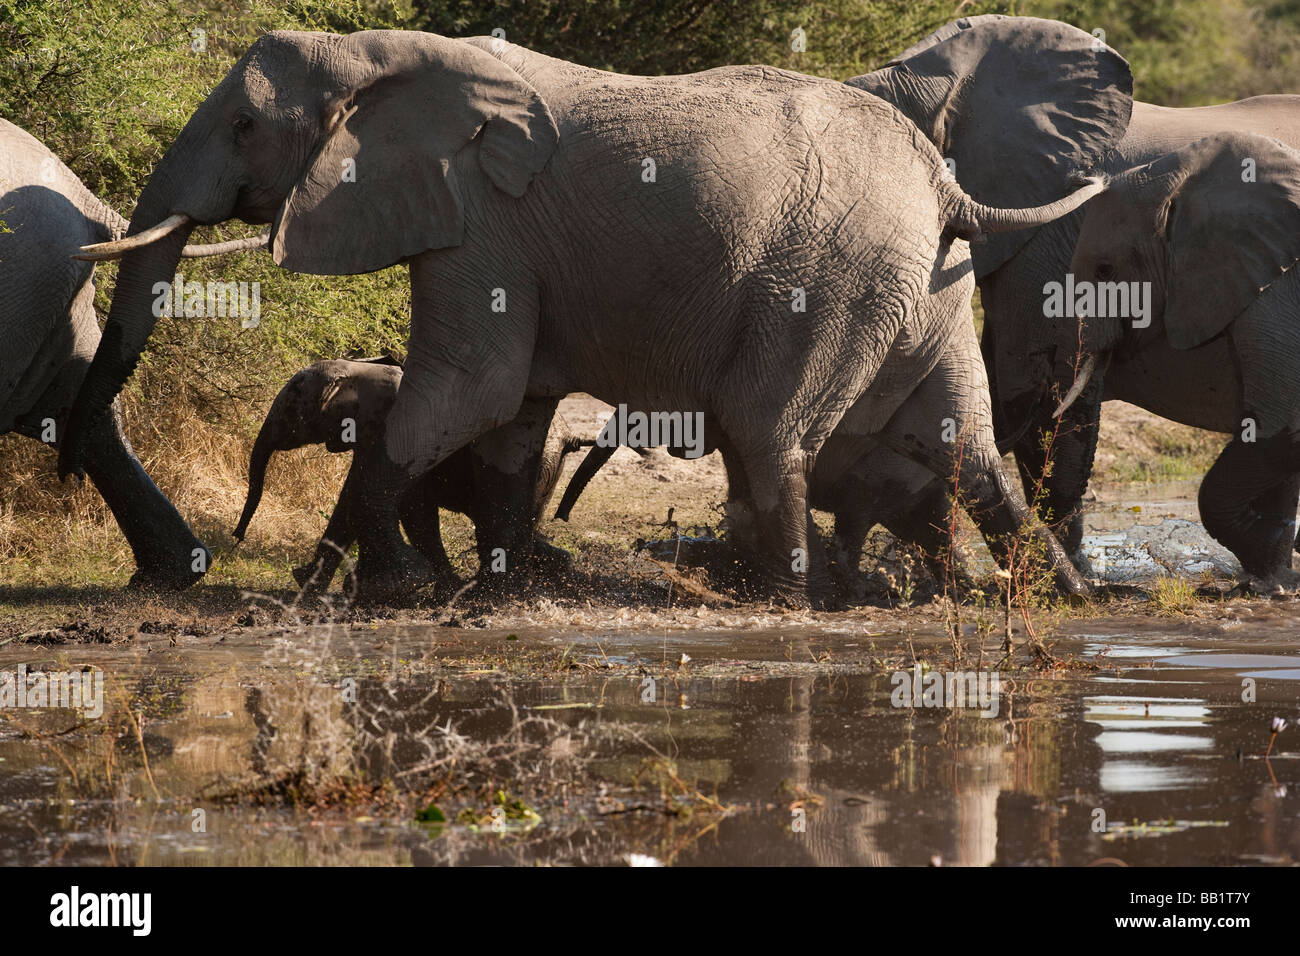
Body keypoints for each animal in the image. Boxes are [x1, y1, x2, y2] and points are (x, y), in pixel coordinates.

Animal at [0, 117, 265, 588]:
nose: (69, 480)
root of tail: (83, 194)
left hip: (26, 281)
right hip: (46, 284)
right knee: (80, 406)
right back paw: (169, 577)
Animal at [231, 356, 589, 595]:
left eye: (291, 405)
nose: (237, 536)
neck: (358, 369)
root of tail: (569, 435)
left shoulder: (390, 431)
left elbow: (405, 507)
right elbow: (355, 499)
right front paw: (308, 582)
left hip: (541, 459)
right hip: (546, 465)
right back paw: (558, 569)